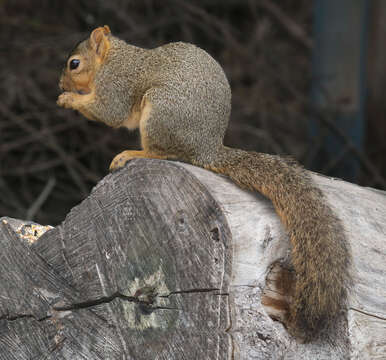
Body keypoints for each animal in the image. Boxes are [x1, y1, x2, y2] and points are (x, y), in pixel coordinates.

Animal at [58, 25, 352, 340]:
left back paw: (133, 153)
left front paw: (68, 99)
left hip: (160, 112)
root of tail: (206, 148)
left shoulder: (116, 86)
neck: (112, 60)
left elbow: (108, 112)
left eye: (74, 64)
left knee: (164, 152)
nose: (60, 82)